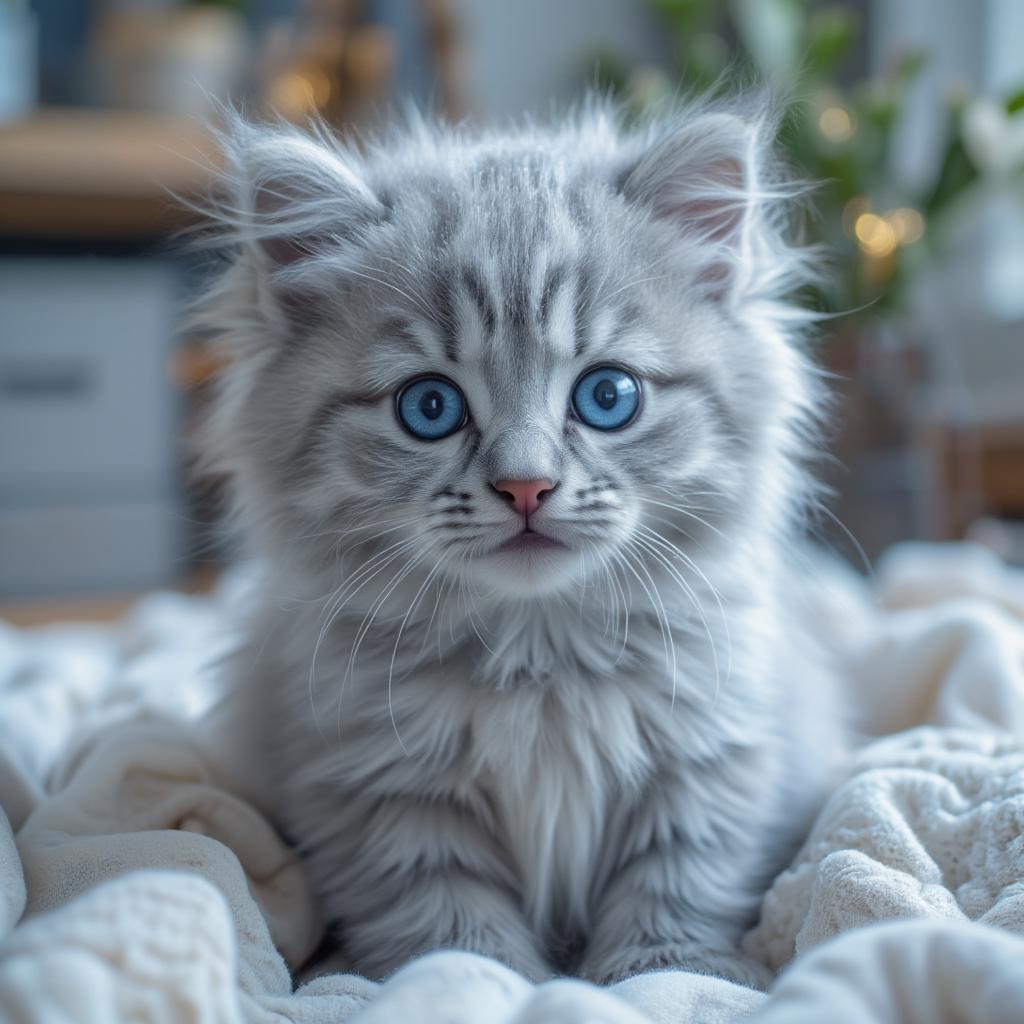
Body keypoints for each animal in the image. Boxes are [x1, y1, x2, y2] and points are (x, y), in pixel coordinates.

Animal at [197, 99, 847, 987]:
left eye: (608, 396)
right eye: (429, 407)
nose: (526, 486)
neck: (538, 658)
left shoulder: (712, 757)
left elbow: (678, 878)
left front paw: (671, 974)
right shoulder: (382, 792)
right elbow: (450, 922)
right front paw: (483, 982)